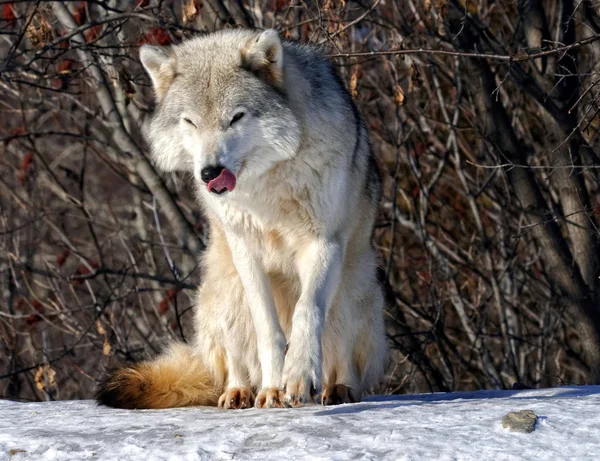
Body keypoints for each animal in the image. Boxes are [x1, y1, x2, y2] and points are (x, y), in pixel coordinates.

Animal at [97, 28, 390, 408]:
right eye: (190, 122)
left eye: (236, 117)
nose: (210, 172)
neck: (266, 184)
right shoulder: (247, 251)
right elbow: (269, 330)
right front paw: (273, 389)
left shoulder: (322, 244)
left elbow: (307, 312)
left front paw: (298, 375)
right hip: (225, 290)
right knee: (234, 365)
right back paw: (241, 392)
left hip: (354, 287)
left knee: (341, 356)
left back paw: (338, 388)